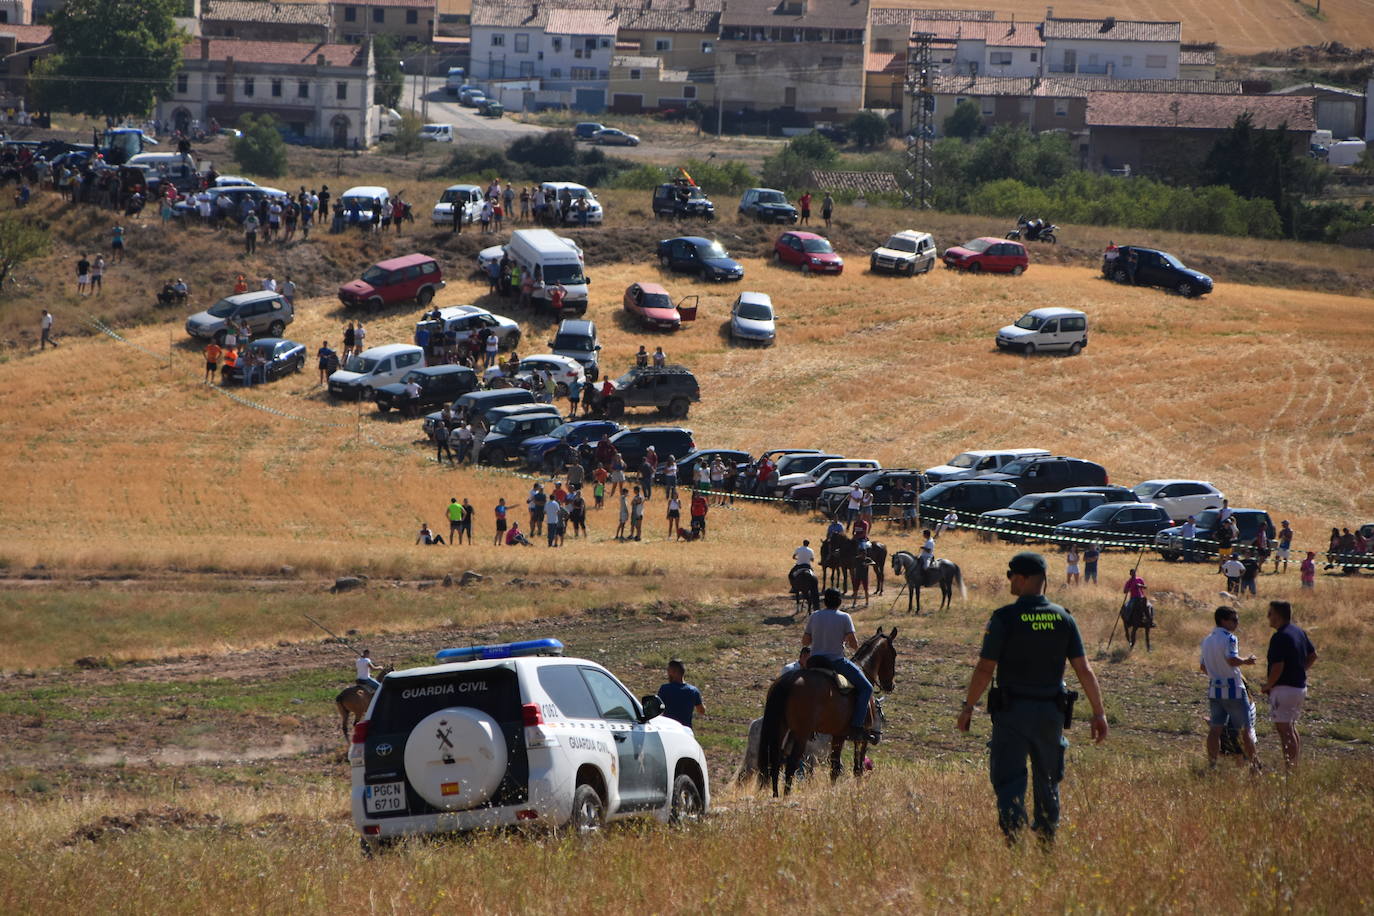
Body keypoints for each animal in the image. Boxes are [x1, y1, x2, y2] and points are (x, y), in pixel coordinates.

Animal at [758, 626, 895, 796]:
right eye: (894, 654)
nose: (891, 685)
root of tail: (788, 681)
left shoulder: (838, 735)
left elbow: (834, 769)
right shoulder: (861, 738)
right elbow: (857, 769)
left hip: (782, 729)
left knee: (776, 762)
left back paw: (776, 796)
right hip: (801, 733)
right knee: (791, 765)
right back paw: (786, 796)